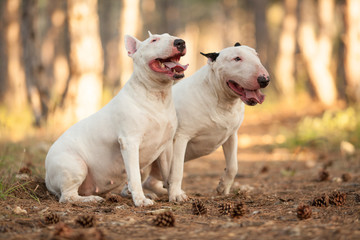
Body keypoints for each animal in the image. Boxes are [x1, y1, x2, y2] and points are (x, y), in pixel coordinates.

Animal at [45, 32, 188, 207]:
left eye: (171, 36)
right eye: (154, 40)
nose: (180, 42)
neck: (156, 94)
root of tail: (46, 174)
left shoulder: (166, 147)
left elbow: (170, 173)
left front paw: (175, 195)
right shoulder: (130, 142)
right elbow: (134, 177)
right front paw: (141, 201)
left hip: (144, 165)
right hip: (75, 166)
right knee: (67, 196)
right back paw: (91, 199)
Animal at [143, 42, 270, 202]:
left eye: (256, 55)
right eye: (237, 58)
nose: (264, 79)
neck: (218, 97)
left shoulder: (231, 135)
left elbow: (233, 166)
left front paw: (223, 187)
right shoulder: (180, 137)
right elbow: (177, 169)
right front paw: (177, 195)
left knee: (150, 181)